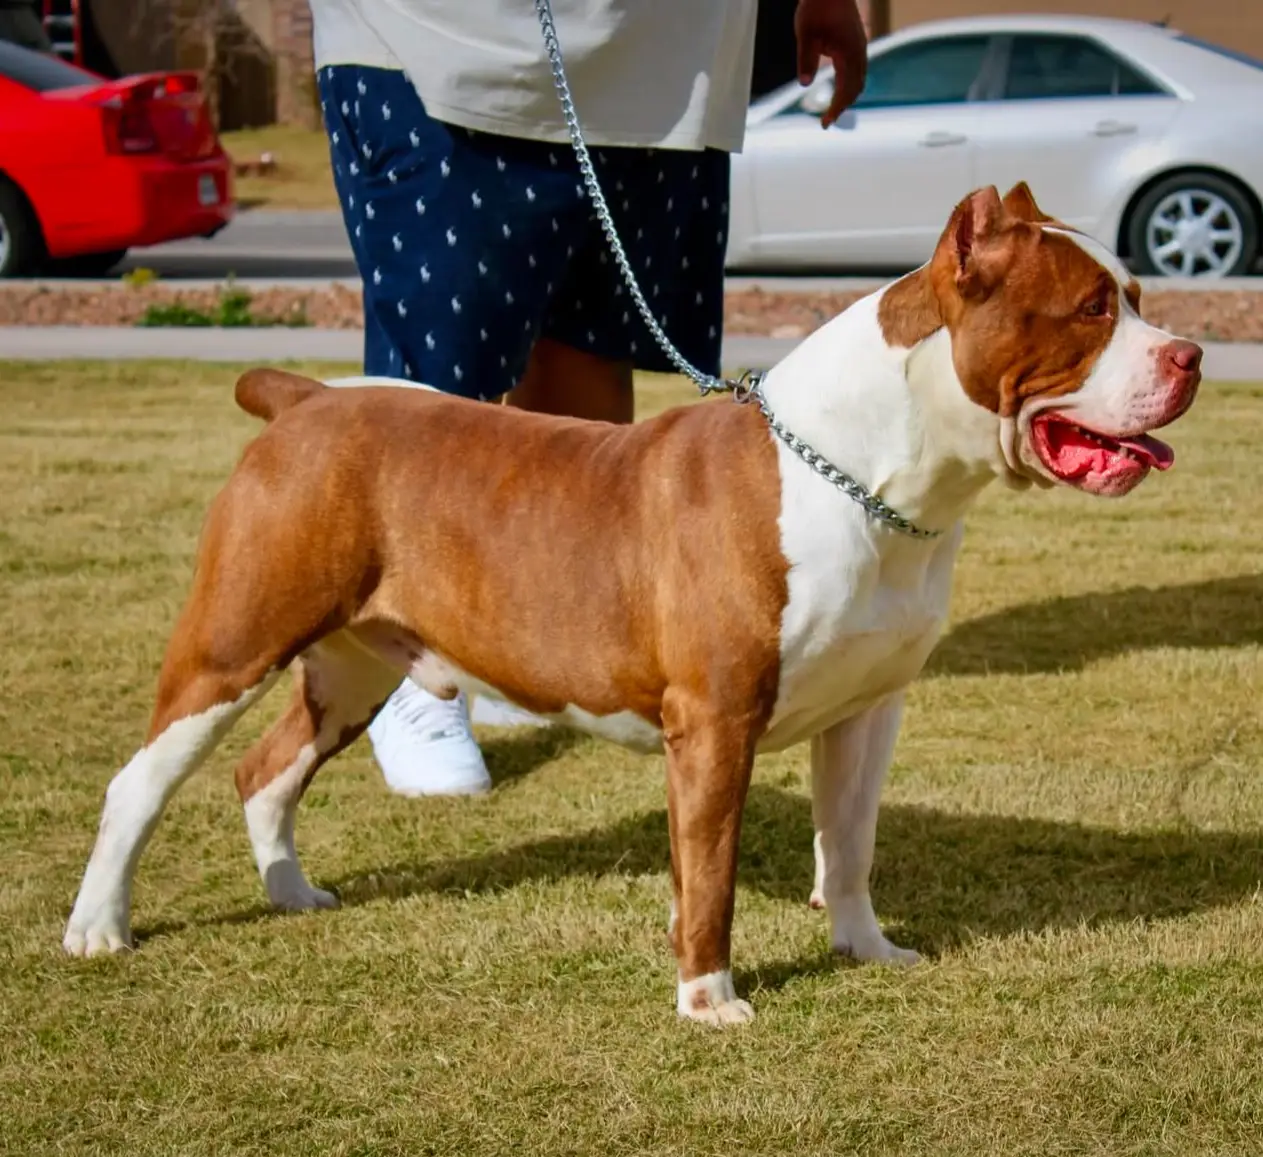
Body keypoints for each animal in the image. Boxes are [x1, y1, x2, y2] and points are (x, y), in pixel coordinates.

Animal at [61, 185, 1202, 1025]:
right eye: (1093, 310)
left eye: (1139, 295)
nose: (1189, 354)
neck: (874, 475)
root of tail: (305, 401)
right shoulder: (714, 722)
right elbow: (711, 872)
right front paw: (708, 997)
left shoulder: (867, 711)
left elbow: (851, 842)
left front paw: (866, 946)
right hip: (234, 641)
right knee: (139, 780)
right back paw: (99, 926)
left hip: (355, 661)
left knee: (269, 766)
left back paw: (292, 890)